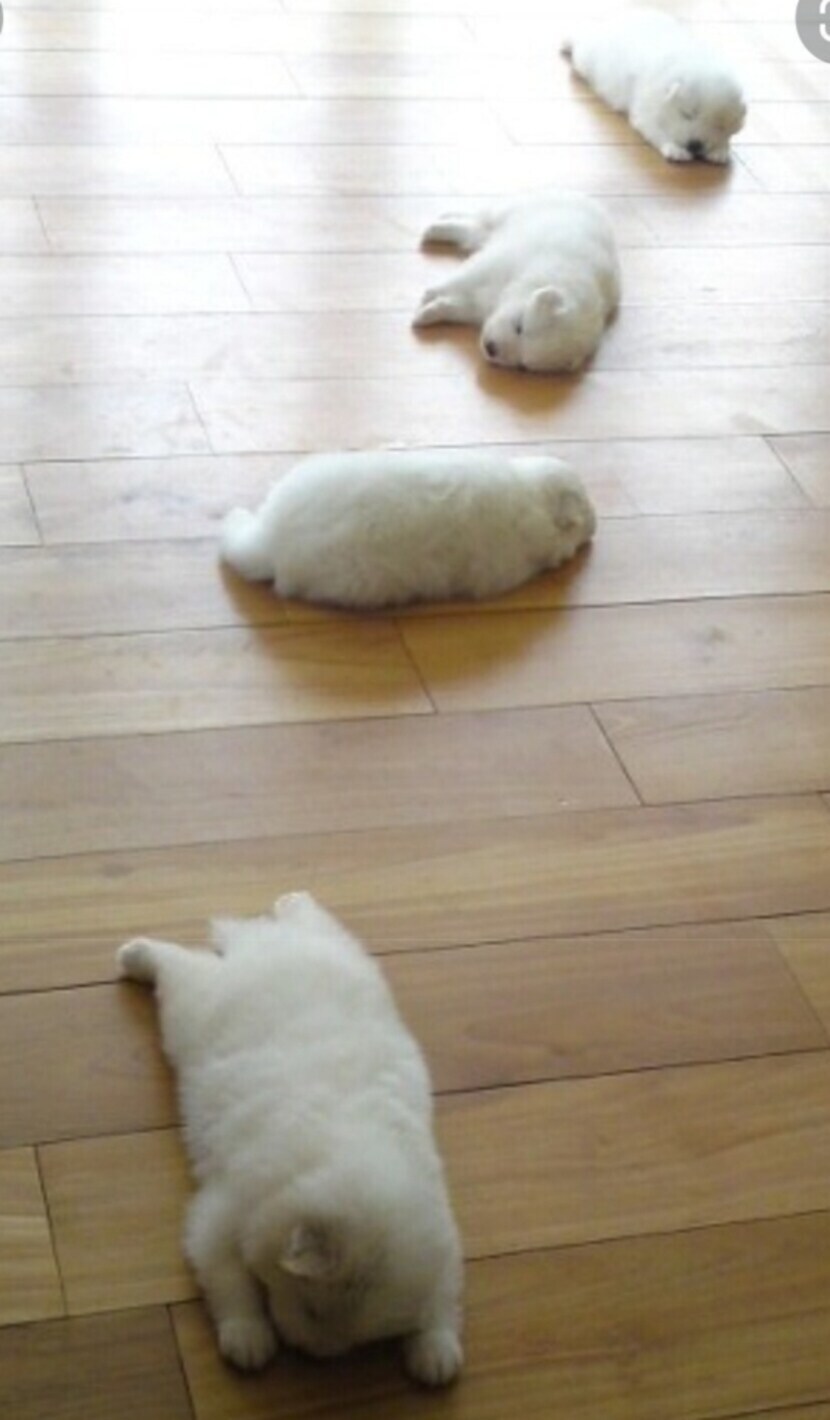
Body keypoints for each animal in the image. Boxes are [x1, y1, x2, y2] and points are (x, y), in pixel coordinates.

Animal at [117, 892, 463, 1385]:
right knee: (177, 962)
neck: (338, 1154)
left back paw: (292, 900)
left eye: (360, 1336)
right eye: (311, 1308)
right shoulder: (218, 1218)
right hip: (193, 1005)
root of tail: (267, 945)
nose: (319, 1356)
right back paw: (135, 954)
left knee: (306, 917)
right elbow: (231, 1283)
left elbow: (443, 1297)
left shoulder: (442, 1239)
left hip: (330, 947)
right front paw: (249, 1341)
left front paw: (436, 1352)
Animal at [413, 191, 620, 372]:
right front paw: (428, 296)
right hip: (506, 215)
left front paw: (427, 314)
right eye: (520, 327)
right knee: (477, 221)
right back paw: (437, 226)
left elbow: (454, 307)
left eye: (523, 366)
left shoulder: (479, 306)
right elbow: (460, 280)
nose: (491, 349)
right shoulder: (493, 264)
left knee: (472, 228)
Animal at [561, 6, 746, 163]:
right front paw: (674, 149)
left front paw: (721, 150)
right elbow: (657, 131)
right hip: (586, 55)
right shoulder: (646, 112)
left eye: (720, 125)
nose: (695, 145)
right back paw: (568, 43)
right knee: (579, 43)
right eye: (687, 114)